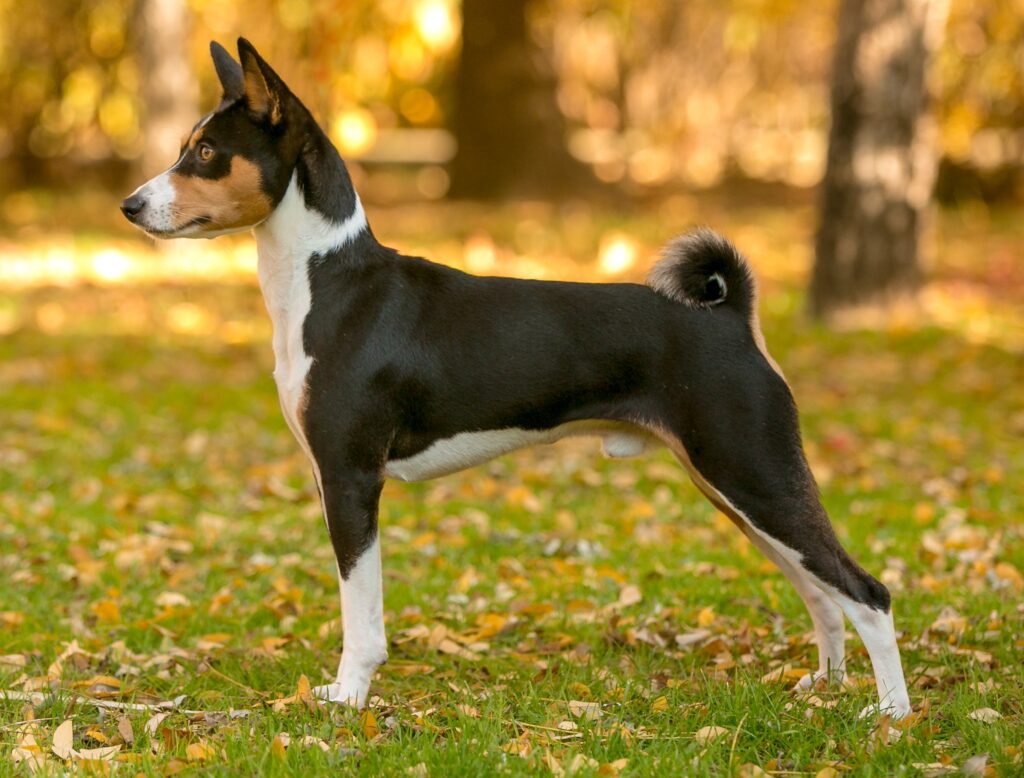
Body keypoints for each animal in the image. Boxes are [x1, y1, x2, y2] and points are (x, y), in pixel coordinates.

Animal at [119, 36, 913, 716]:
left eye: (206, 152)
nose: (130, 205)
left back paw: (890, 716)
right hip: (736, 487)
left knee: (867, 592)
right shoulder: (334, 477)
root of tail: (731, 315)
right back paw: (824, 685)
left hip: (753, 472)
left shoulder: (351, 478)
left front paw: (347, 697)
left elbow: (361, 613)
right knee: (821, 593)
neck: (326, 282)